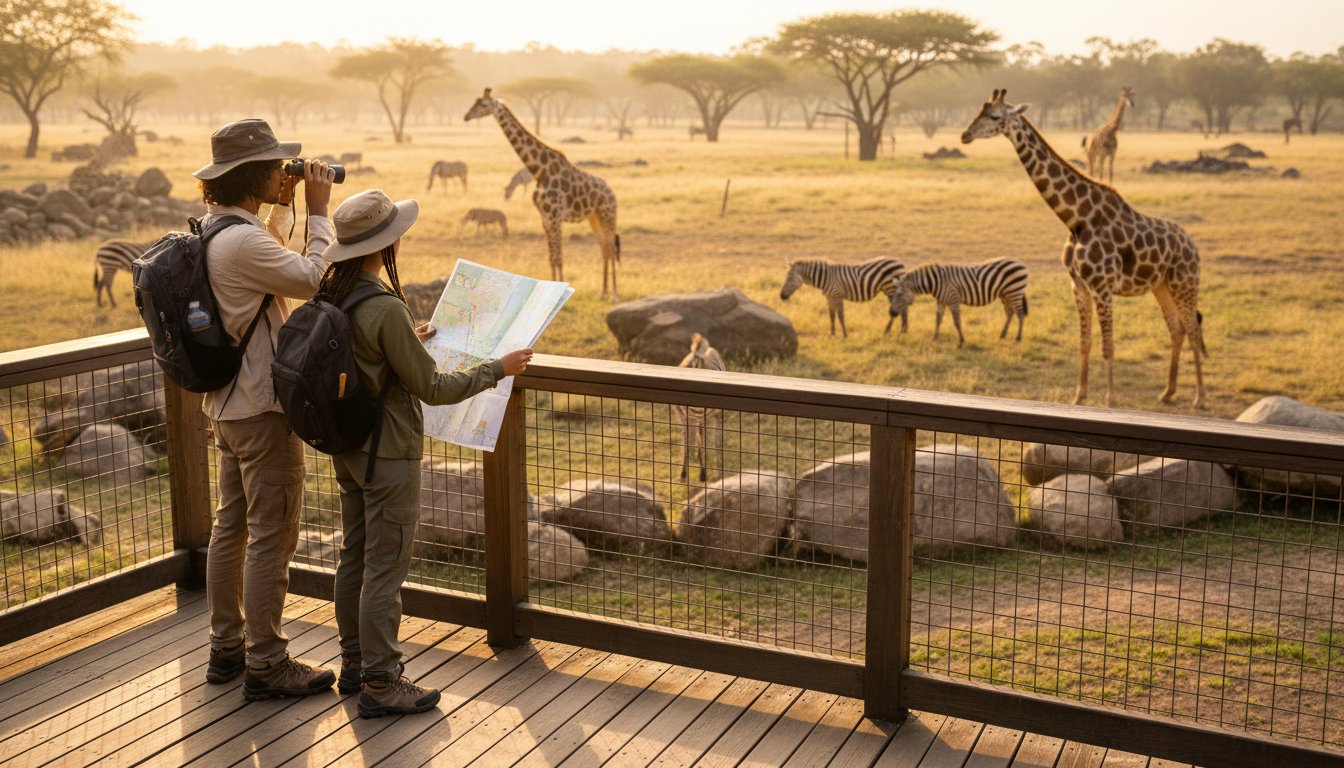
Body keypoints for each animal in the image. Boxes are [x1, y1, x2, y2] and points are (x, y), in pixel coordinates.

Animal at [464, 88, 621, 301]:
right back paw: (602, 292)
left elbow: (559, 257)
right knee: (604, 248)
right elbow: (551, 257)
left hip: (607, 215)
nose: (466, 116)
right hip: (593, 218)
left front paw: (560, 293)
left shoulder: (554, 217)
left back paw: (613, 294)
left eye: (483, 104)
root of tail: (612, 193)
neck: (540, 171)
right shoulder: (545, 218)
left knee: (611, 248)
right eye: (475, 101)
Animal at [889, 258, 1029, 347]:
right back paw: (1002, 335)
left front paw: (961, 341)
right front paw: (934, 338)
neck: (936, 282)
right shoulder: (941, 301)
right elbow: (938, 320)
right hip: (1005, 294)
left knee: (1020, 314)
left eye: (899, 295)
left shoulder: (953, 300)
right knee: (1010, 312)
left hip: (1014, 291)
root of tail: (1019, 263)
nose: (891, 313)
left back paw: (1018, 338)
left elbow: (957, 321)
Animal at [961, 89, 1207, 409]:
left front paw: (1110, 401)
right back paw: (1167, 392)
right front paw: (1079, 397)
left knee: (1193, 329)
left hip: (1184, 282)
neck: (1076, 219)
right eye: (979, 112)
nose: (965, 135)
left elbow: (1108, 345)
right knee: (1177, 328)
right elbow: (1084, 342)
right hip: (1161, 286)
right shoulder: (1078, 285)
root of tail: (1193, 245)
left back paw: (1199, 398)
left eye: (994, 116)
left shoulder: (1102, 287)